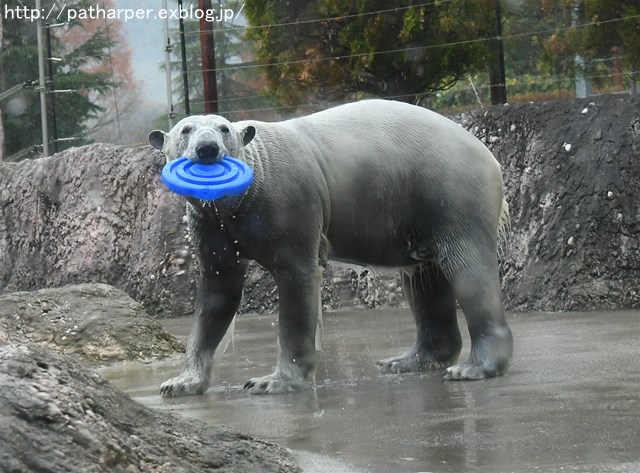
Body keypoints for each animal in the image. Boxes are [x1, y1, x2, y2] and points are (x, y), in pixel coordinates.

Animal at [149, 98, 510, 394]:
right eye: (185, 129)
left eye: (224, 129)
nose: (207, 149)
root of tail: (490, 156)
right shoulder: (211, 226)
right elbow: (217, 292)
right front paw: (180, 382)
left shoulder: (288, 205)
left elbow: (297, 280)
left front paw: (273, 381)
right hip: (418, 206)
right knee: (423, 276)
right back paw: (403, 361)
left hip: (450, 187)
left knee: (467, 265)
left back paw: (472, 368)